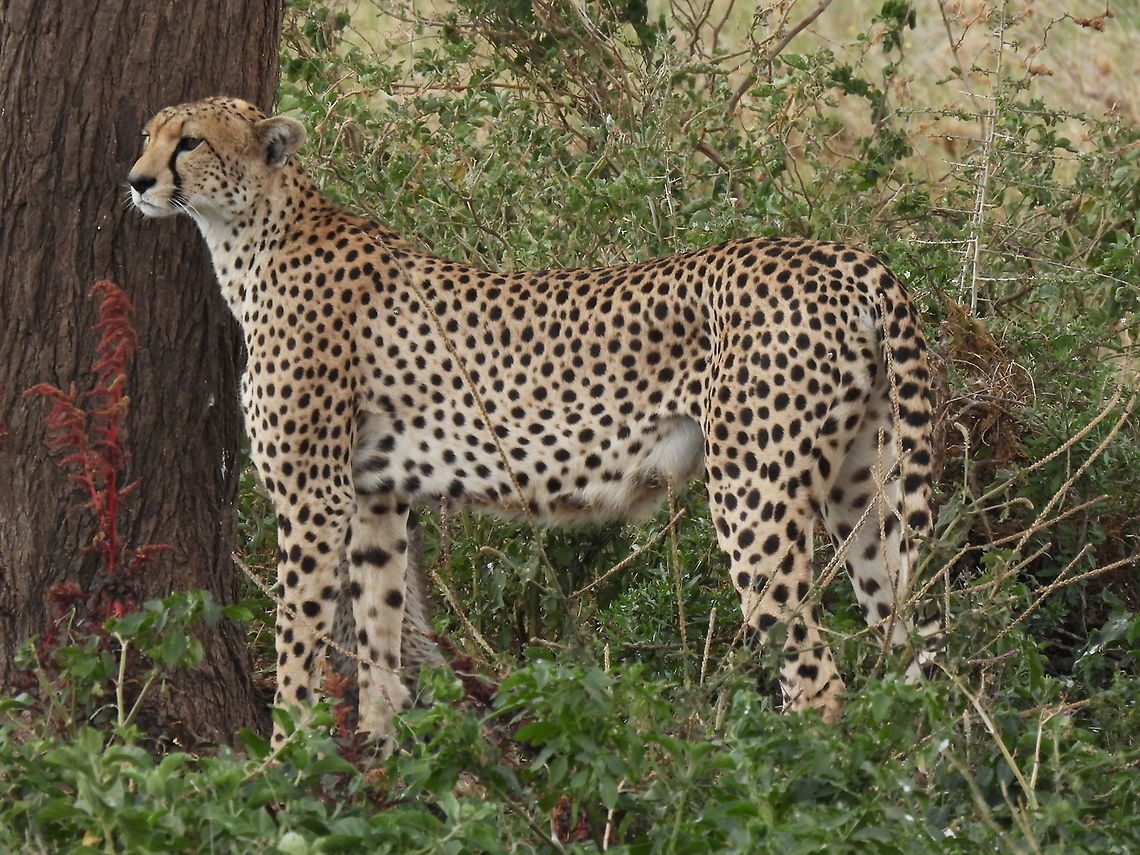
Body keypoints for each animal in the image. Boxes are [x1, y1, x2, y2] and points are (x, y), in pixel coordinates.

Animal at [127, 96, 935, 747]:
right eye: (147, 135)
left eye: (189, 142)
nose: (135, 181)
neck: (253, 235)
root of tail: (844, 254)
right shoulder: (375, 497)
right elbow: (382, 638)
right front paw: (385, 766)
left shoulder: (312, 497)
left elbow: (299, 639)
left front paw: (284, 761)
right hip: (865, 495)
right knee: (910, 651)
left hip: (752, 493)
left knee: (818, 676)